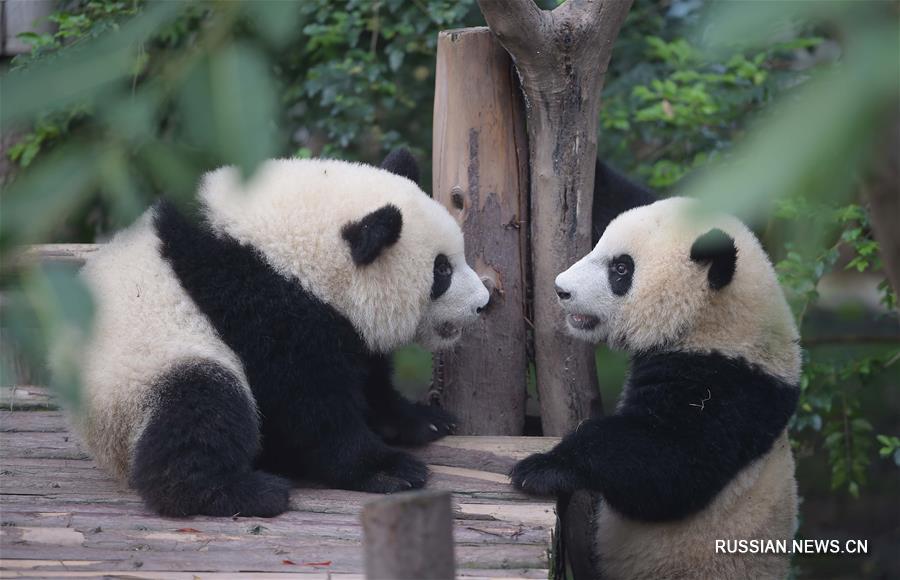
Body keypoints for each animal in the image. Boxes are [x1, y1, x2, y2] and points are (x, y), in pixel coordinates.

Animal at [74, 148, 488, 516]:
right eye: (442, 271)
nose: (482, 302)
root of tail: (104, 447)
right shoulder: (258, 302)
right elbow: (305, 403)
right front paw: (387, 470)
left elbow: (368, 378)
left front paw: (423, 419)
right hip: (143, 374)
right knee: (203, 406)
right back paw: (242, 493)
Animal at [510, 162, 800, 580]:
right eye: (597, 244)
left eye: (620, 269)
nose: (561, 289)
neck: (716, 321)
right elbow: (615, 194)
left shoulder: (728, 388)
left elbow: (667, 463)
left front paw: (544, 466)